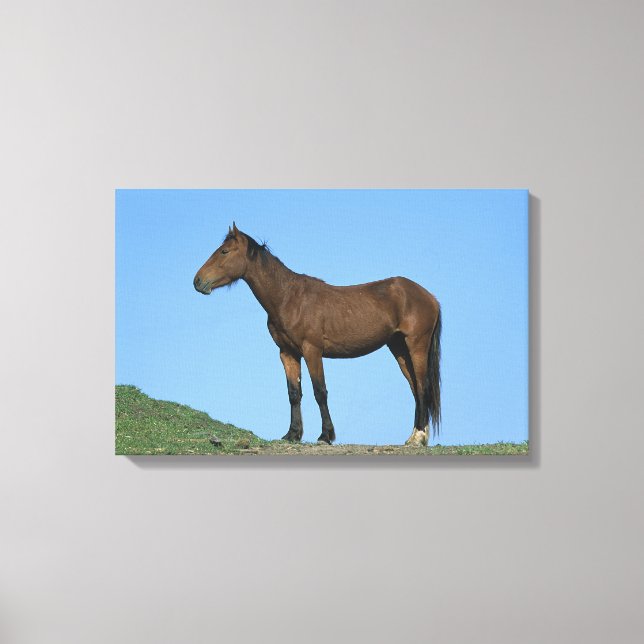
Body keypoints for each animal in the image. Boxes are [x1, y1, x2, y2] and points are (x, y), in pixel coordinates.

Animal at [193, 223, 442, 446]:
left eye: (224, 251)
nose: (198, 281)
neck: (288, 298)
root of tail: (430, 297)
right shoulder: (288, 353)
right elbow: (294, 393)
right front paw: (292, 434)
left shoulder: (312, 350)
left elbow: (319, 391)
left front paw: (325, 436)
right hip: (399, 348)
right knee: (415, 388)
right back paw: (413, 437)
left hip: (416, 346)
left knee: (422, 387)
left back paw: (418, 438)